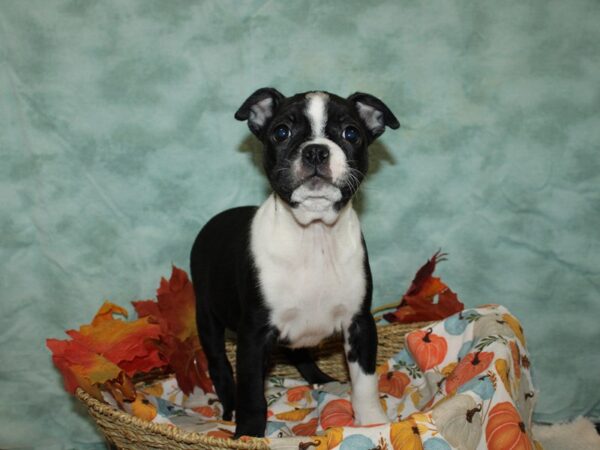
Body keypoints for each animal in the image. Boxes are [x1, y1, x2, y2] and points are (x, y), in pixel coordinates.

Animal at [191, 87, 398, 436]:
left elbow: (365, 382)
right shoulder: (253, 335)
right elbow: (252, 393)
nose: (315, 151)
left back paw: (321, 380)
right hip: (207, 316)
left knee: (300, 353)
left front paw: (373, 422)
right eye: (281, 132)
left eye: (351, 133)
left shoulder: (360, 323)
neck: (313, 235)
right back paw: (229, 407)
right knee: (219, 364)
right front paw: (249, 434)